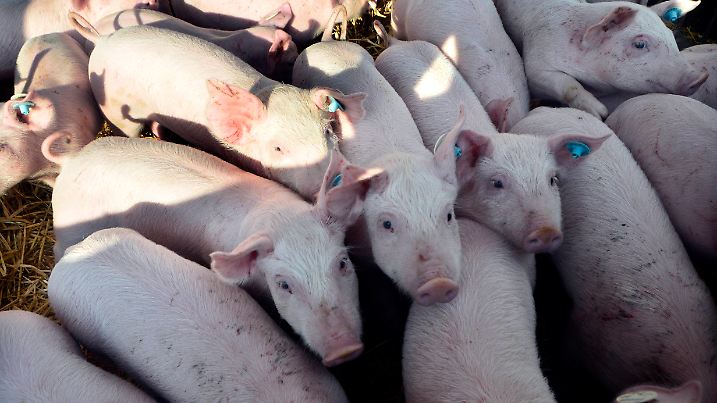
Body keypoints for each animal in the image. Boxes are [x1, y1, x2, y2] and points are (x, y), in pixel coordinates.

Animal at [50, 137, 380, 367]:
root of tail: (72, 161)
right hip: (69, 229)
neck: (279, 218)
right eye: (283, 284)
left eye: (343, 263)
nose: (344, 349)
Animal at [493, 0, 709, 119]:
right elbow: (567, 83)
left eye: (670, 35)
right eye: (640, 44)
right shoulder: (536, 64)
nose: (700, 77)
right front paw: (600, 112)